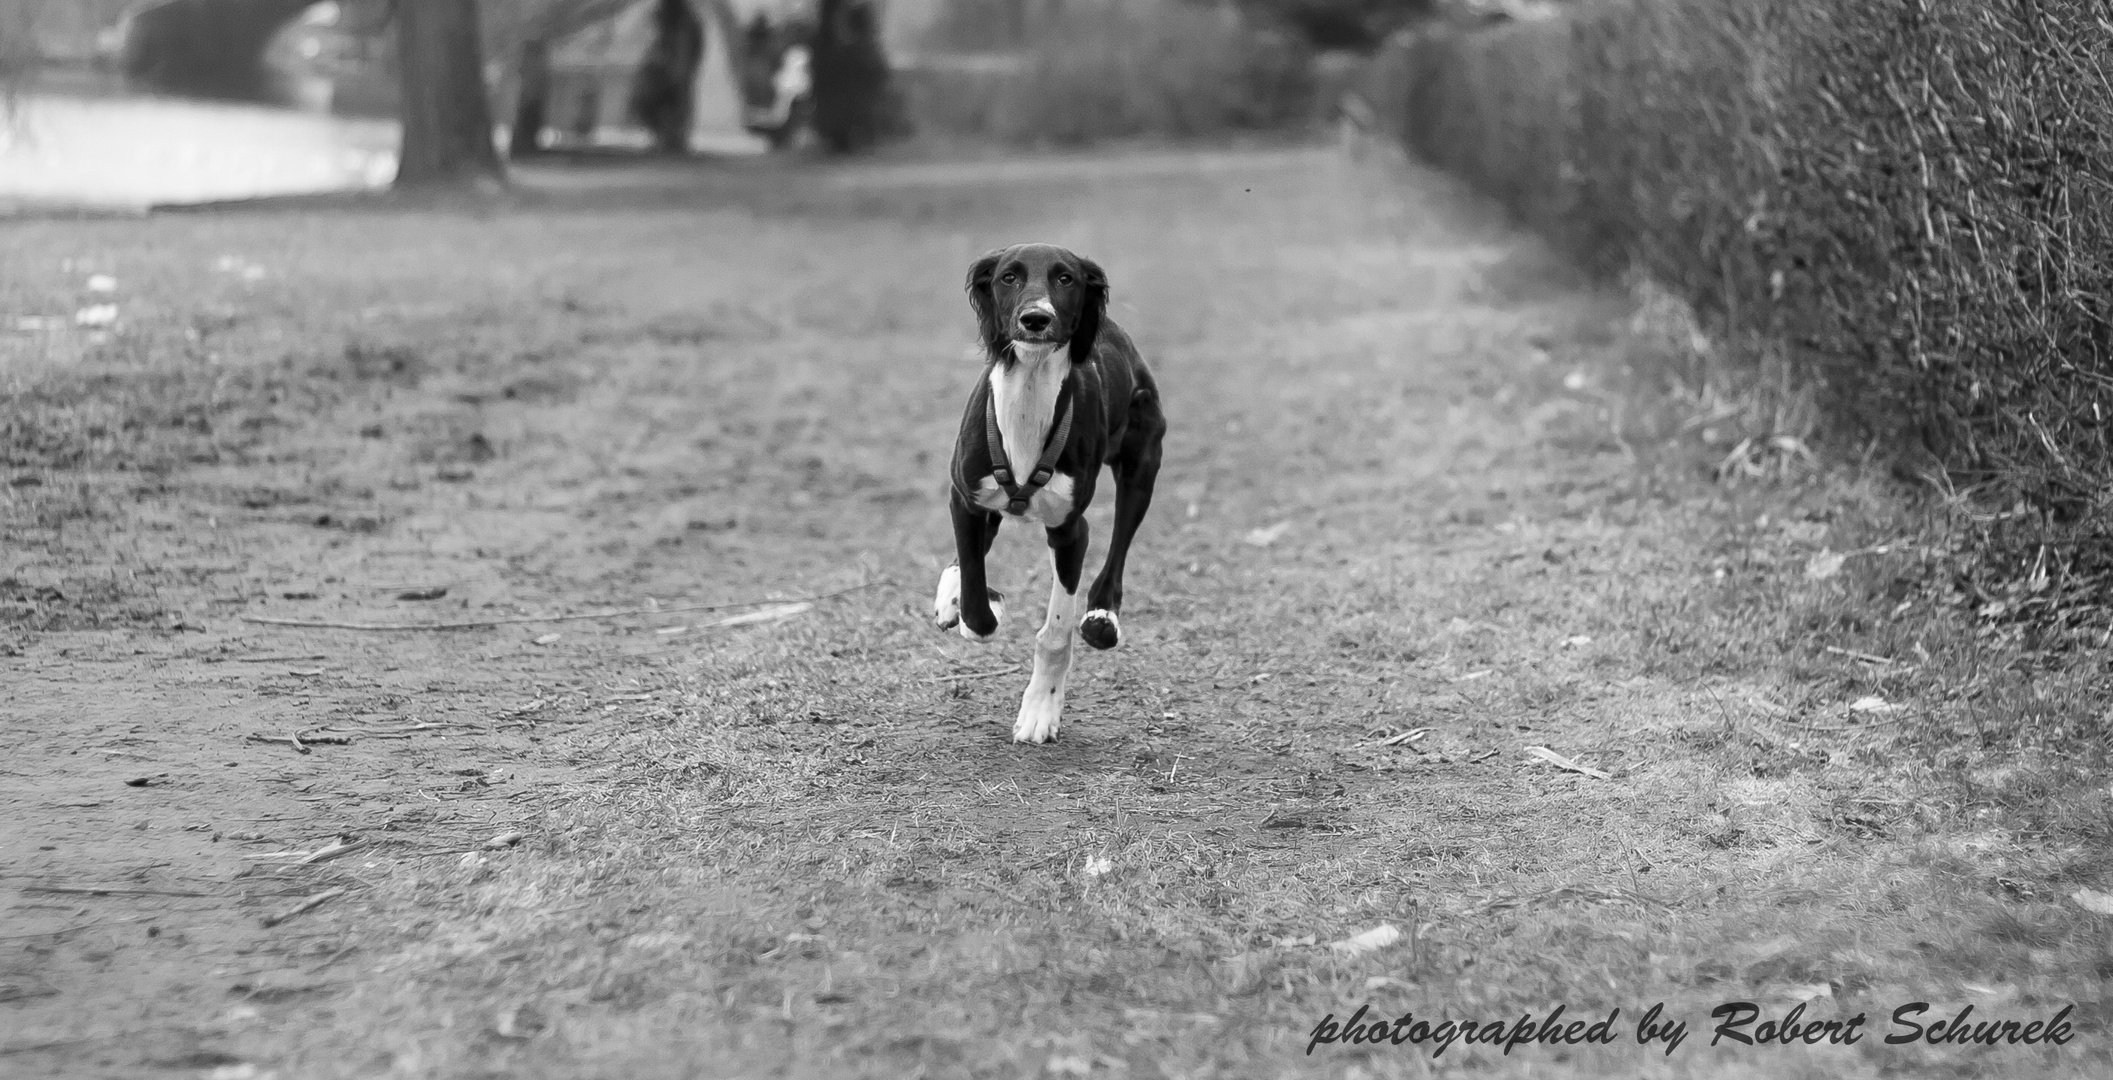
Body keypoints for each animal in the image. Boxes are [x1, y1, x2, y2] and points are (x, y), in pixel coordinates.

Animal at [938, 245, 1174, 743]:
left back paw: (1103, 616)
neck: (1029, 389)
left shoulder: (1070, 531)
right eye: (1008, 277)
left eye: (1066, 278)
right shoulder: (965, 500)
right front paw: (977, 602)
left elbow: (1056, 633)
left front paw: (1040, 711)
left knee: (1119, 544)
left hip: (1142, 461)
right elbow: (976, 605)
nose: (1035, 318)